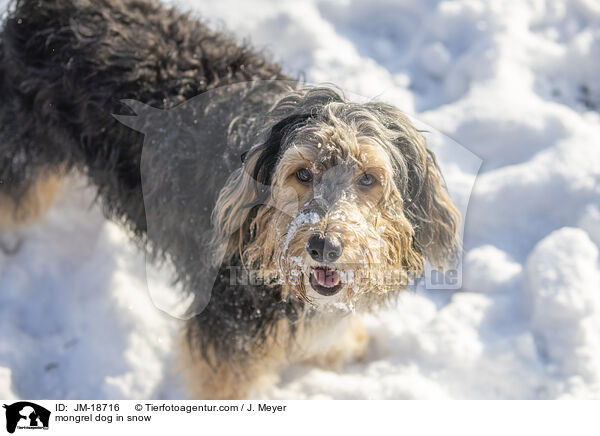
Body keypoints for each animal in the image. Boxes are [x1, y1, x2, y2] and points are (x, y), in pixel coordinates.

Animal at [0, 0, 460, 398]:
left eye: (368, 178)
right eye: (302, 173)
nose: (323, 246)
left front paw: (347, 347)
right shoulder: (227, 326)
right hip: (23, 149)